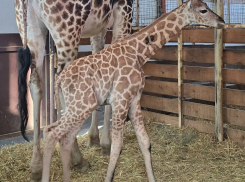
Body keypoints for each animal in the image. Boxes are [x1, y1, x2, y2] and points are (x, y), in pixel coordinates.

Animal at [14, 0, 134, 180]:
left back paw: (36, 167)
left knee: (36, 85)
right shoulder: (124, 12)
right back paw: (77, 158)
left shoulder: (100, 27)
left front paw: (95, 138)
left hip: (32, 31)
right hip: (67, 32)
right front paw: (107, 144)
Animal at [41, 0, 224, 181]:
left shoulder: (135, 98)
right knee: (51, 133)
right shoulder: (121, 99)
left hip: (76, 107)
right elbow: (116, 146)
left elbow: (145, 142)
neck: (138, 52)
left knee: (64, 138)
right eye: (203, 10)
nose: (221, 21)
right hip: (82, 106)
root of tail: (59, 80)